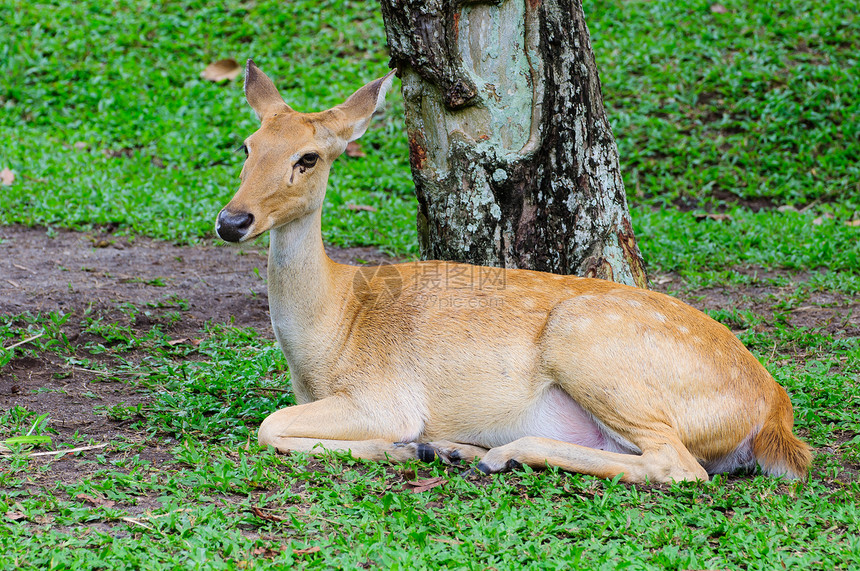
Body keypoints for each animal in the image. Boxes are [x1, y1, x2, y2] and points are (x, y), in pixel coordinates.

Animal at [217, 61, 812, 482]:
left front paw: (409, 447)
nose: (232, 220)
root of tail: (774, 413)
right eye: (247, 146)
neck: (332, 331)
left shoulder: (383, 397)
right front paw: (425, 450)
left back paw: (498, 454)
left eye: (309, 157)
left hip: (590, 347)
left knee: (679, 465)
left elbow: (269, 427)